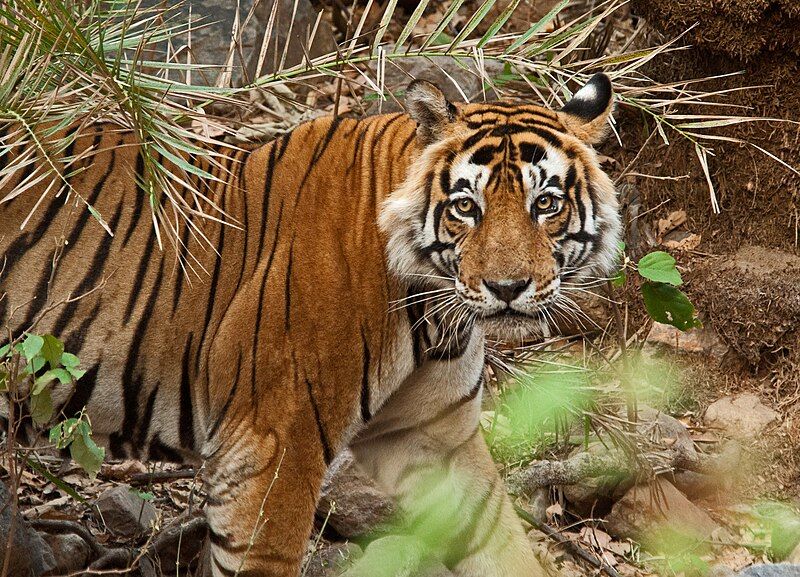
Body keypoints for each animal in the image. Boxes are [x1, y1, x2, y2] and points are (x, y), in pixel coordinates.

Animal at [1, 73, 620, 576]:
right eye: (467, 207)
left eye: (546, 204)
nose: (507, 288)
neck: (431, 307)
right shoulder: (272, 441)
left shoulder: (436, 439)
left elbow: (498, 541)